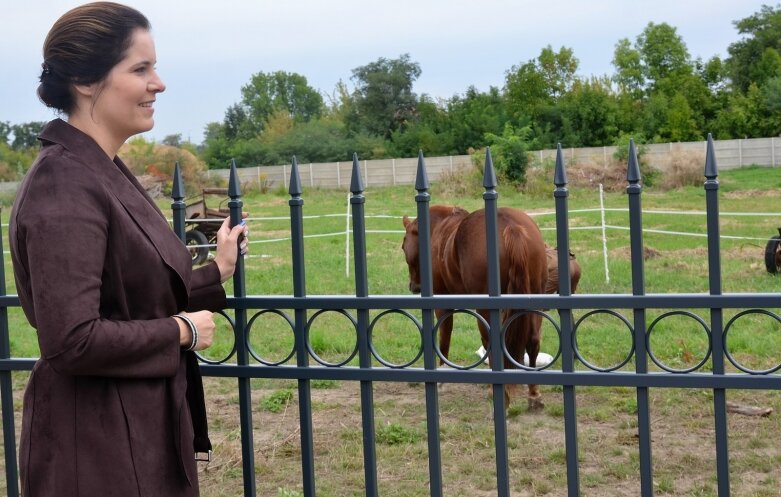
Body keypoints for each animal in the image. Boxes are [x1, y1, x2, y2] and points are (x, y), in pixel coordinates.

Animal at [402, 203, 548, 408]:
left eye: (403, 245)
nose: (414, 286)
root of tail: (511, 226)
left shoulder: (442, 304)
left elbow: (444, 337)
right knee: (533, 341)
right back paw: (534, 393)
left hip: (485, 311)